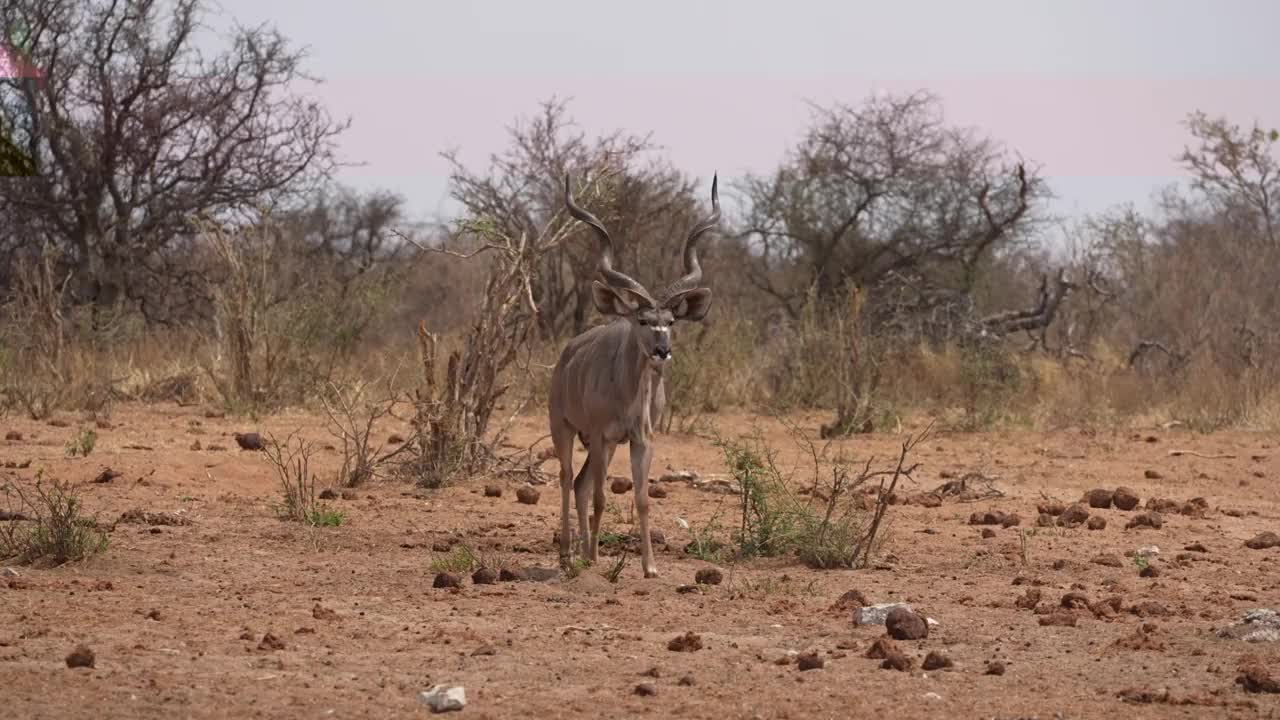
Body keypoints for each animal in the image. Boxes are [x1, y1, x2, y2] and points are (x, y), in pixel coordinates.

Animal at [545, 170, 716, 573]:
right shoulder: (600, 434)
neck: (627, 392)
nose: (662, 350)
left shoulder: (641, 440)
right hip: (565, 429)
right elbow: (601, 497)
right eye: (641, 319)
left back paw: (581, 552)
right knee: (566, 479)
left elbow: (642, 499)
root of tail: (566, 357)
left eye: (671, 321)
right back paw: (569, 554)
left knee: (579, 483)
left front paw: (649, 567)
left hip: (600, 444)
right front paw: (594, 559)